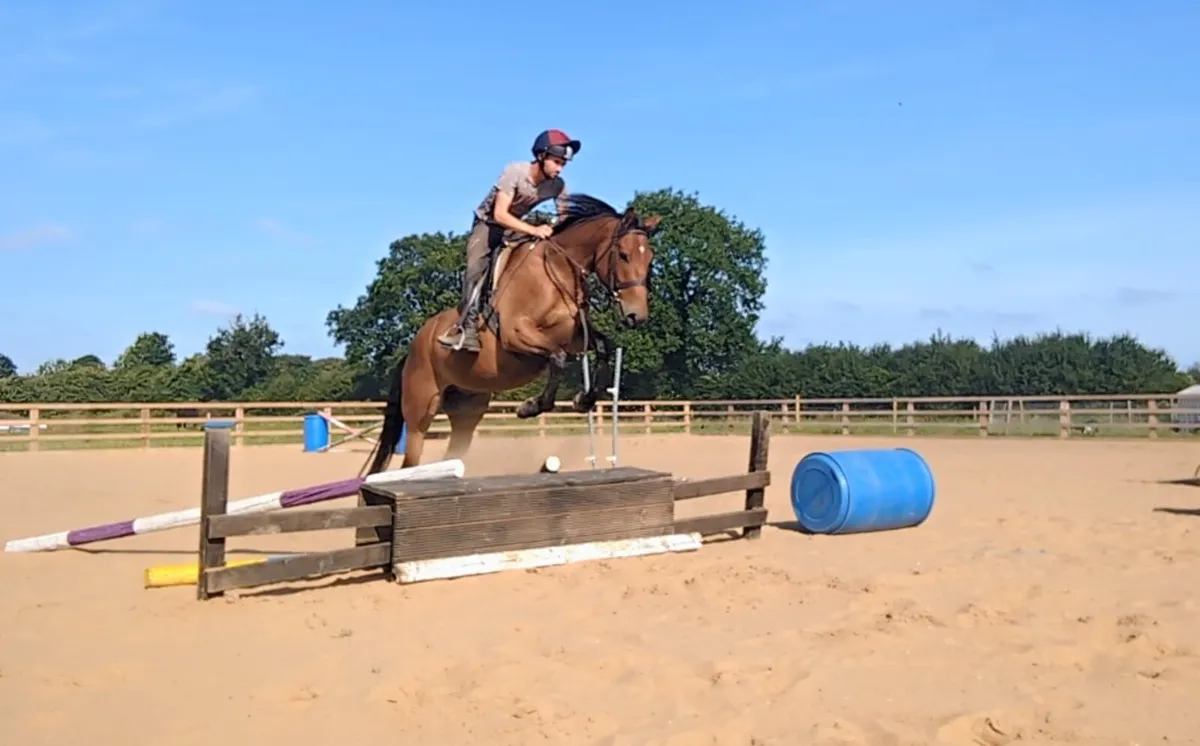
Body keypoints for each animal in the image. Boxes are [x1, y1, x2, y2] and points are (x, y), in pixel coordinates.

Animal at [359, 193, 660, 475]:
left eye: (650, 259)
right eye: (623, 255)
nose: (637, 316)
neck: (557, 272)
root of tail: (412, 348)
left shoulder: (576, 337)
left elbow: (603, 347)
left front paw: (584, 399)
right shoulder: (516, 334)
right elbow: (557, 357)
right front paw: (531, 406)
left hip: (467, 410)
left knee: (452, 453)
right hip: (421, 410)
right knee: (411, 456)